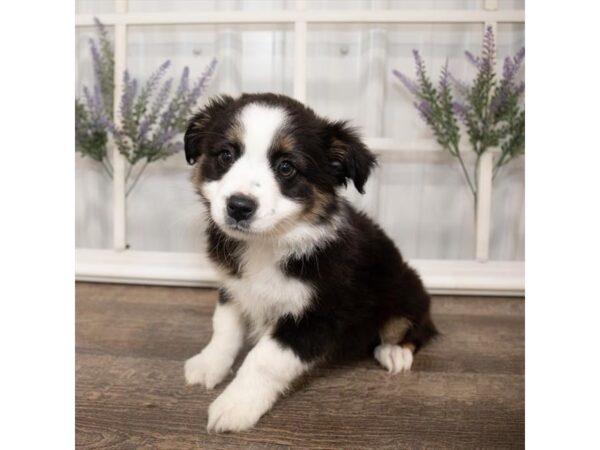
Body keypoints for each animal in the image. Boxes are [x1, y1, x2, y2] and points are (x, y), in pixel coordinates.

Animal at [182, 94, 436, 432]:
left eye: (286, 167)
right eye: (225, 155)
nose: (239, 206)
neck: (268, 244)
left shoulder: (320, 314)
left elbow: (264, 360)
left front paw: (235, 406)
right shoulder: (233, 287)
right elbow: (224, 328)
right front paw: (209, 364)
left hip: (406, 288)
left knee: (416, 327)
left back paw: (395, 351)